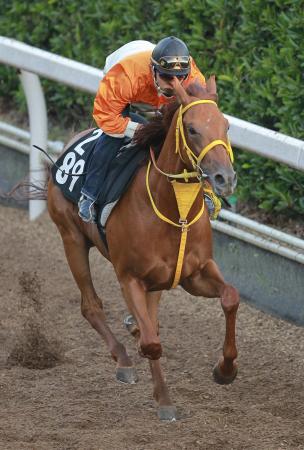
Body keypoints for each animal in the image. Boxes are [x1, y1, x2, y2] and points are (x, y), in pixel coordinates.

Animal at [47, 75, 239, 420]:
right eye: (192, 129)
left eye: (226, 125)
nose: (224, 178)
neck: (174, 210)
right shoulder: (130, 278)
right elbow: (152, 343)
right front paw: (163, 397)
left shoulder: (196, 273)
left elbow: (230, 297)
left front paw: (225, 370)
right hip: (72, 239)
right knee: (91, 305)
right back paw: (123, 358)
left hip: (156, 282)